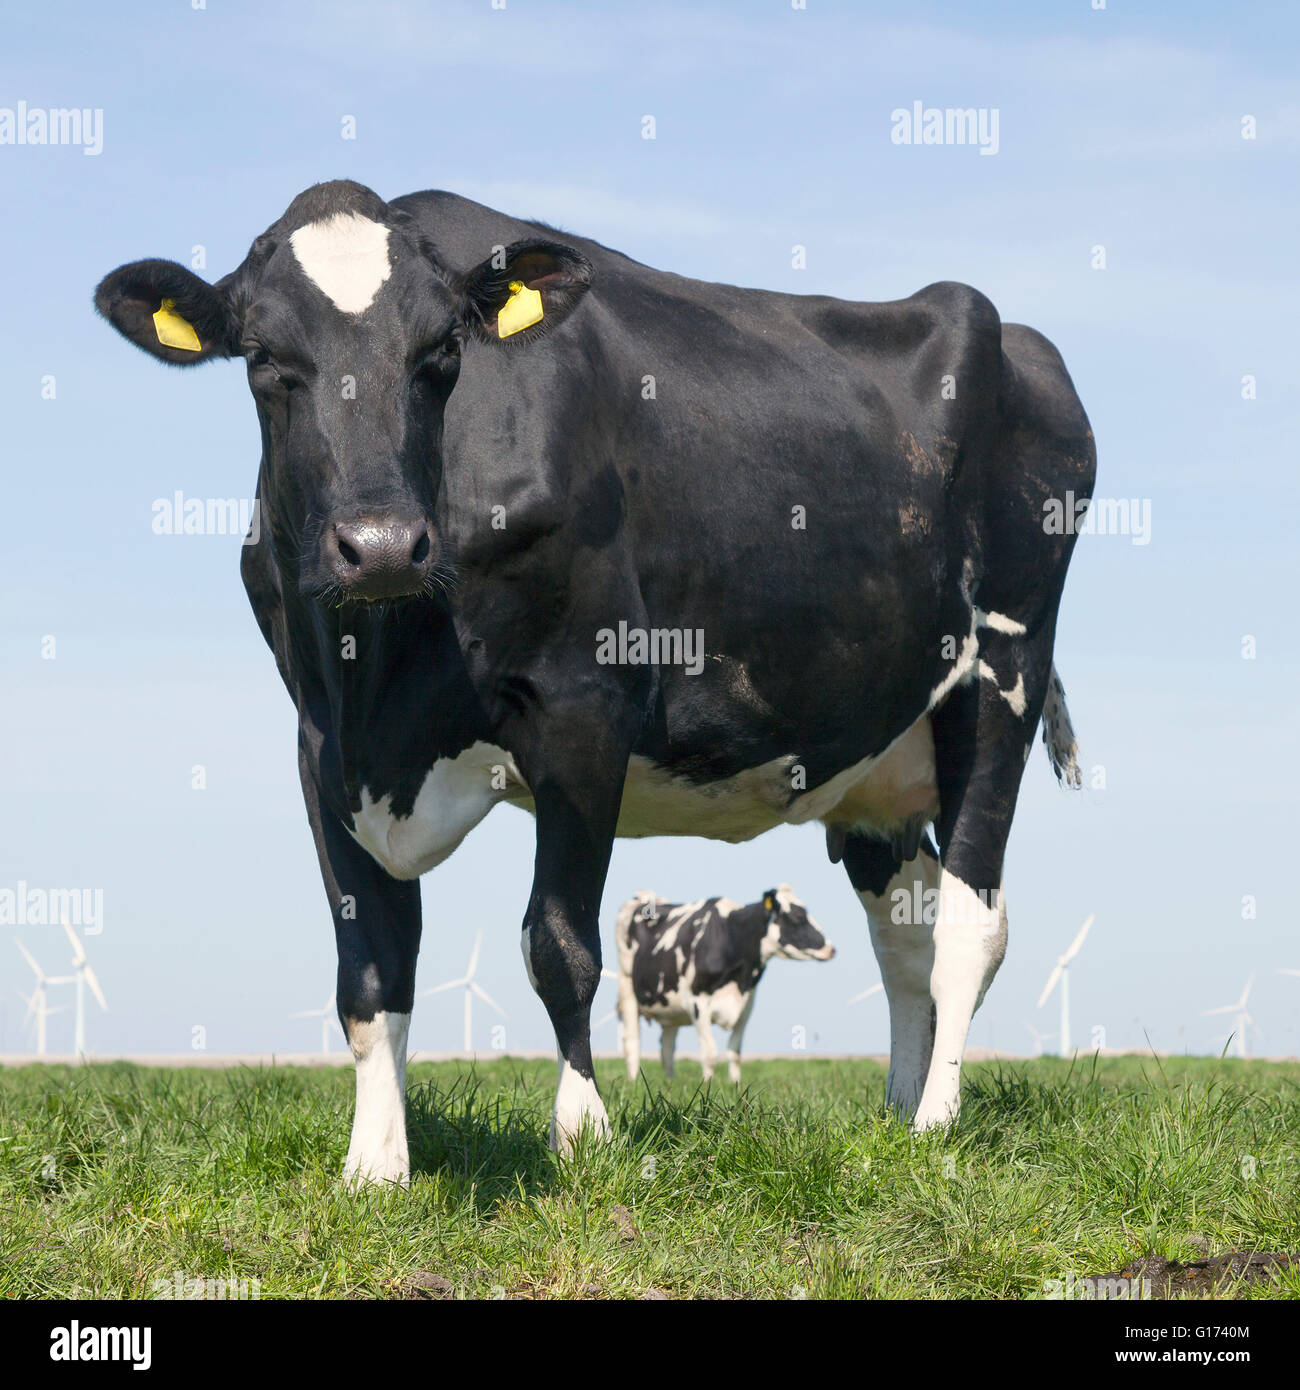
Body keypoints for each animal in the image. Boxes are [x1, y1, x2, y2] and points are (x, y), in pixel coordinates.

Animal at [615, 885, 834, 1084]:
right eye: (798, 917)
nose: (832, 949)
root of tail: (646, 896)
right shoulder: (697, 1001)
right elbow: (710, 1053)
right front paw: (706, 1088)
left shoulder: (747, 1003)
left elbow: (735, 1051)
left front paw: (735, 1085)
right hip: (627, 985)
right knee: (632, 1041)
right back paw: (633, 1082)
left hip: (670, 1005)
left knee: (667, 1047)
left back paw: (671, 1083)